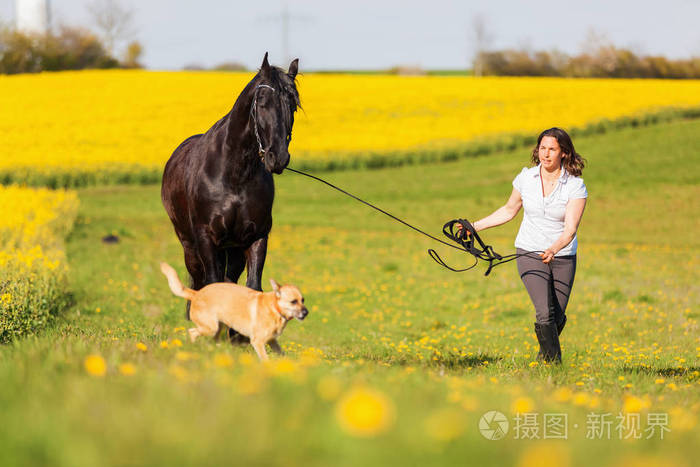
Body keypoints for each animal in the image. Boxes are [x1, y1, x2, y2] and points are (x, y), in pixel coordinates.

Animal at [161, 53, 300, 329]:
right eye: (263, 102)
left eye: (293, 105)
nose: (278, 157)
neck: (234, 175)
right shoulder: (206, 238)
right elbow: (212, 283)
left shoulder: (256, 237)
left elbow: (252, 287)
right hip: (189, 245)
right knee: (200, 282)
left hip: (233, 249)